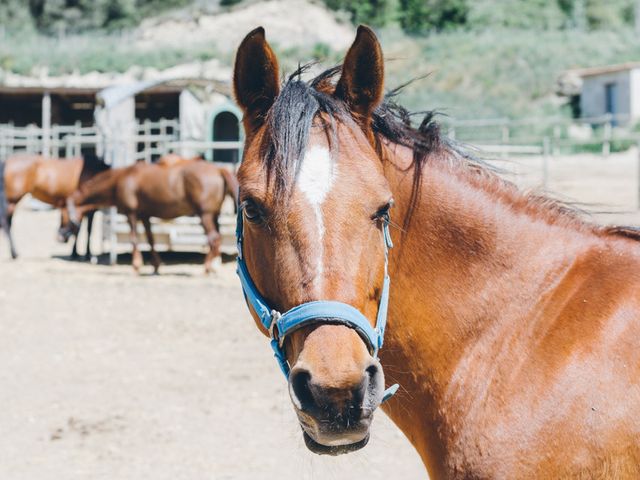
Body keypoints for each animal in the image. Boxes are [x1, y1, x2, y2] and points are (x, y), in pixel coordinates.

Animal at [62, 158, 239, 274]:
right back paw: (214, 266)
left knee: (213, 238)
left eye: (64, 216)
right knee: (217, 239)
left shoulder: (131, 214)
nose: (61, 236)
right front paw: (155, 266)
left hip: (205, 215)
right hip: (214, 215)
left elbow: (134, 239)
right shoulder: (145, 216)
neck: (122, 180)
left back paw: (207, 268)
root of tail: (218, 169)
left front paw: (136, 265)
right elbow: (150, 240)